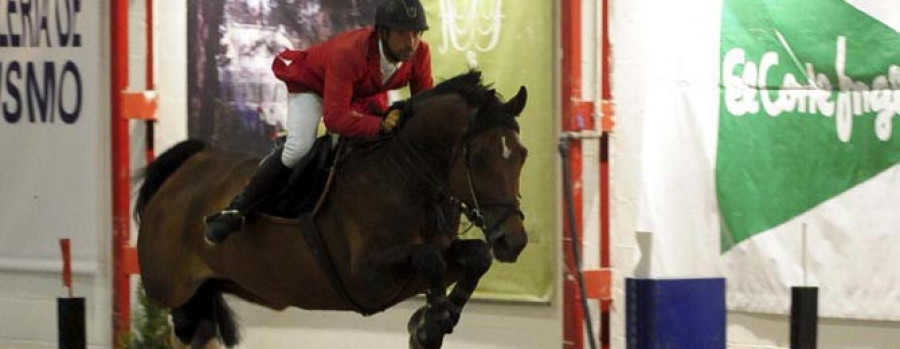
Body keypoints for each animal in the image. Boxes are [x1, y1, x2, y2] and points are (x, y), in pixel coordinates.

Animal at [134, 69, 528, 346]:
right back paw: (223, 222)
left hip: (208, 293)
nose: (514, 241)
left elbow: (476, 257)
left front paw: (433, 321)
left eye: (522, 154)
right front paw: (430, 325)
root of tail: (187, 166)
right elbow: (428, 257)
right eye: (478, 157)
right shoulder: (366, 278)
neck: (407, 174)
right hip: (178, 295)